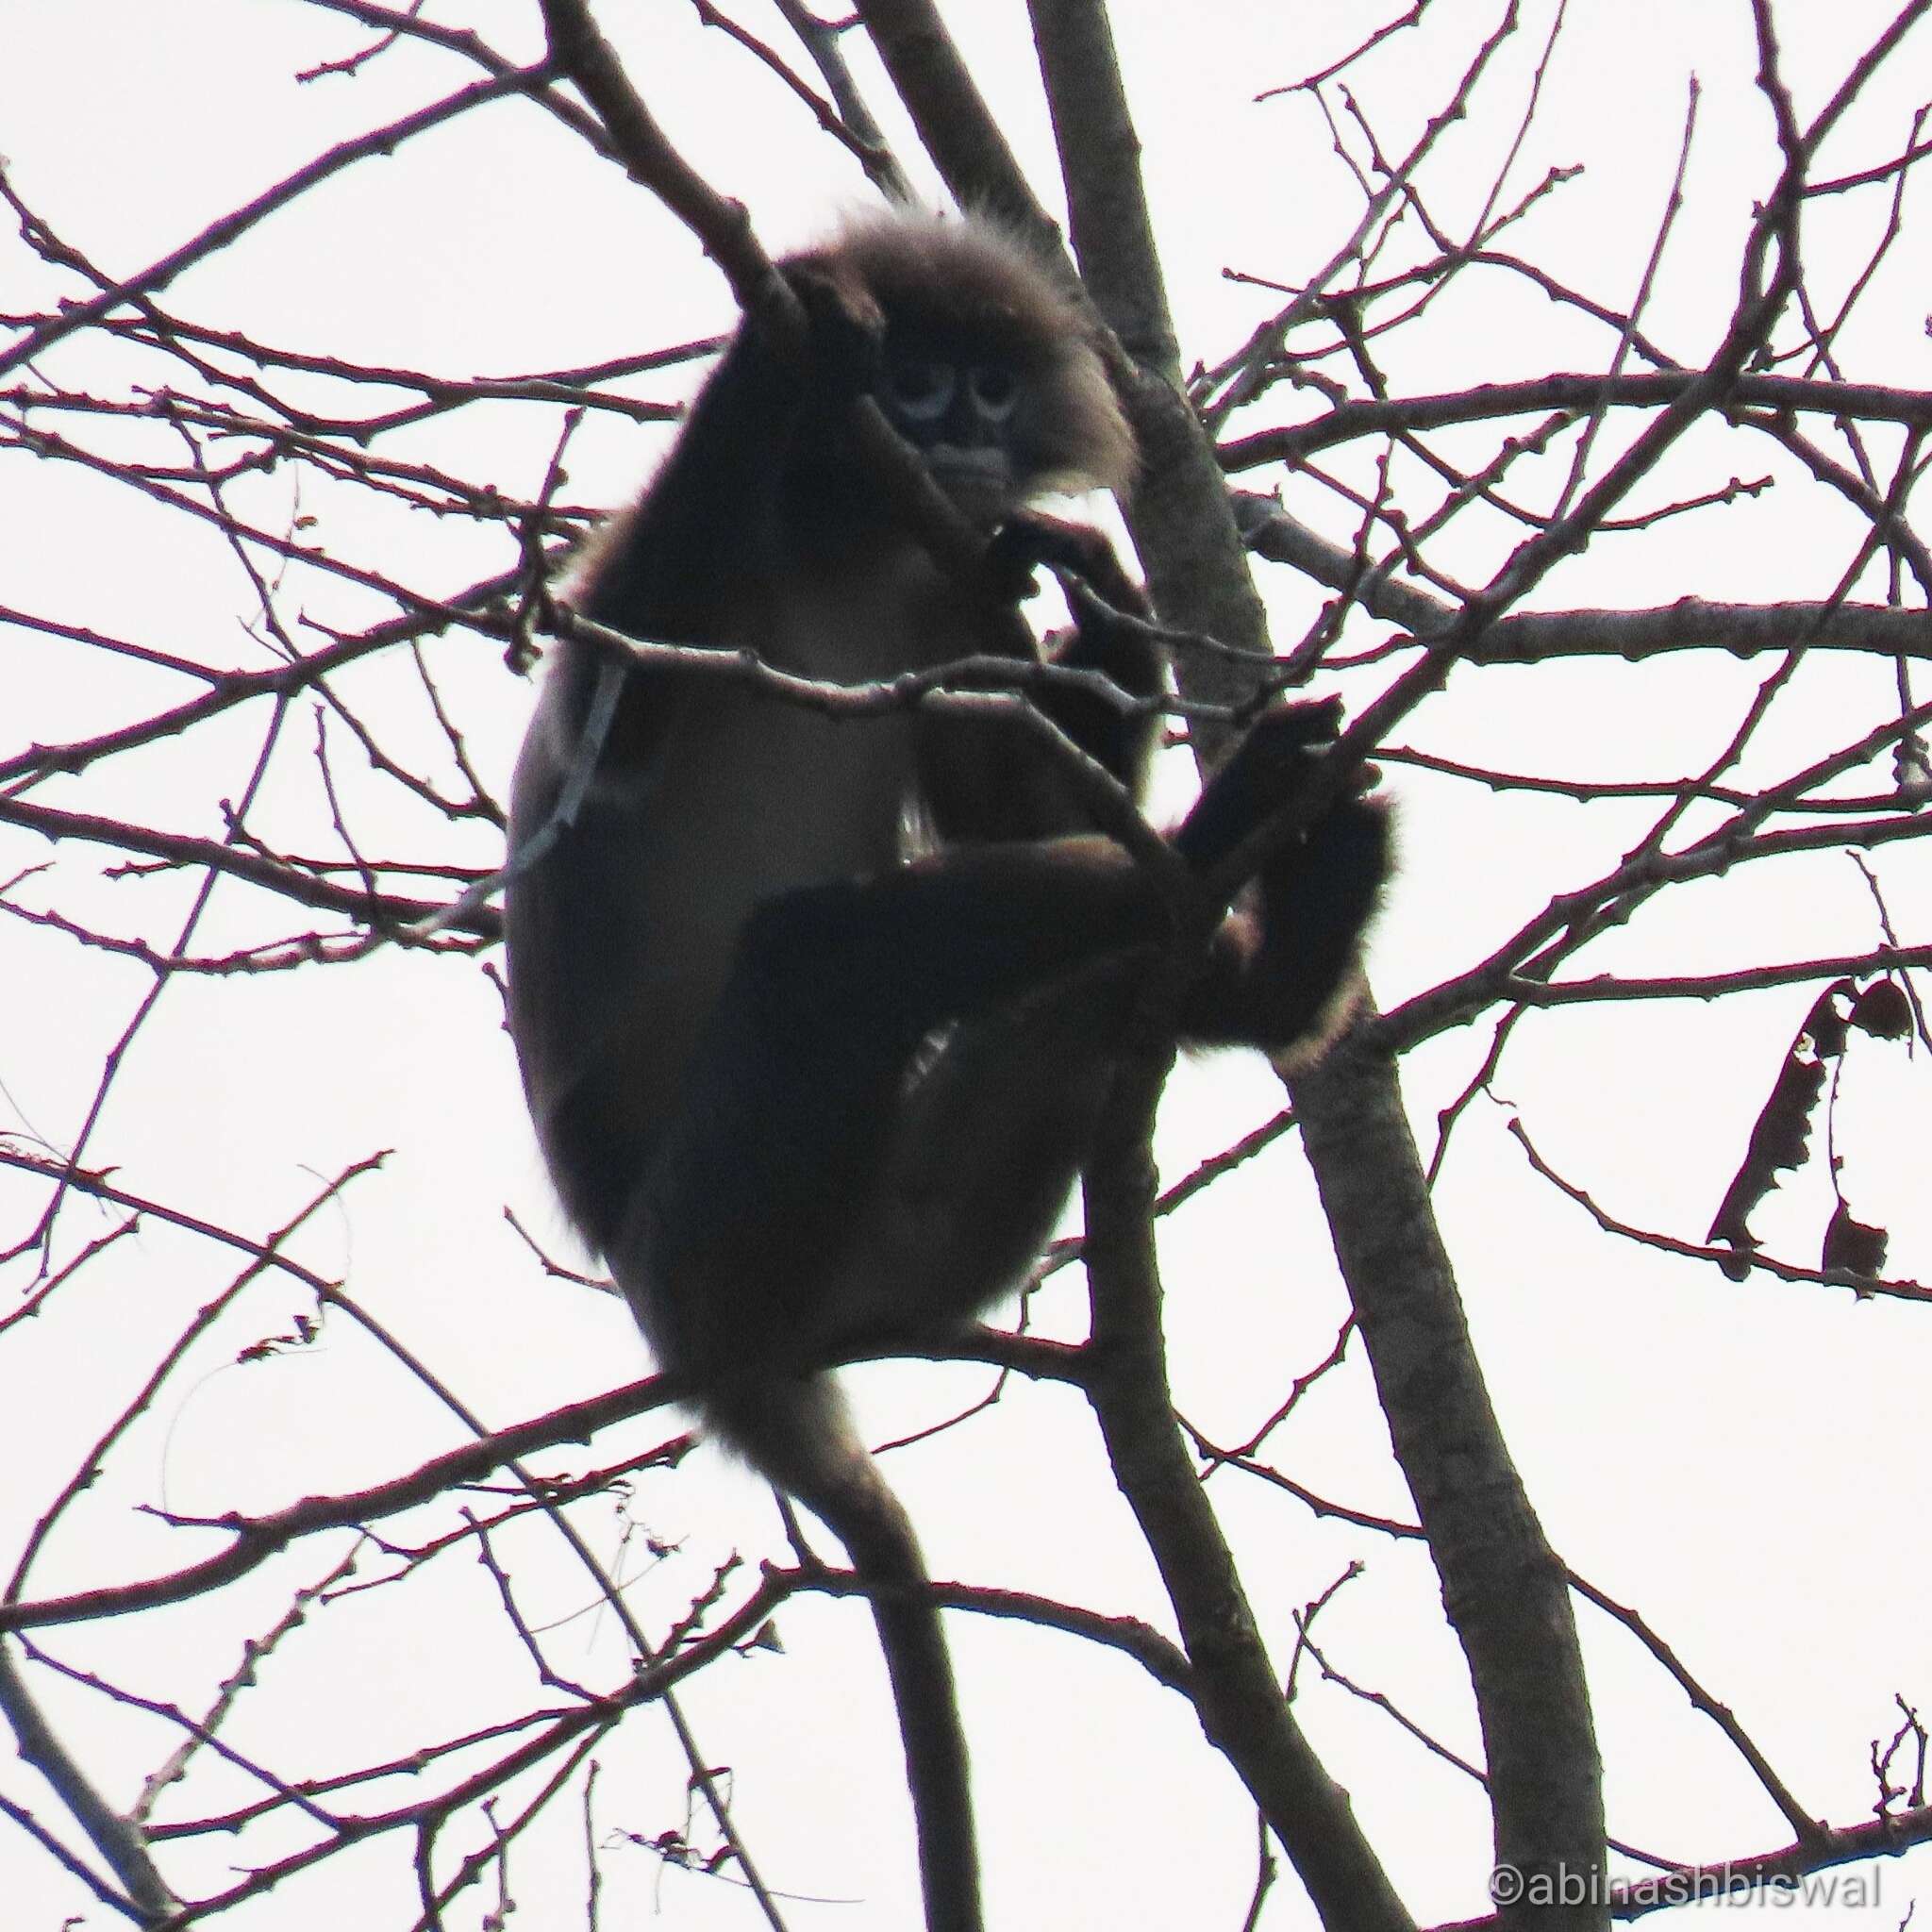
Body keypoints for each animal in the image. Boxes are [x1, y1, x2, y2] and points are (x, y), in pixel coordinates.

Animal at [506, 204, 1398, 1924]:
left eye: (991, 387)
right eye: (921, 385)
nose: (963, 436)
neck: (844, 545)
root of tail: (729, 1364)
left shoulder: (944, 593)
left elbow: (1000, 798)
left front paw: (1107, 630)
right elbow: (617, 740)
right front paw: (780, 350)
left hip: (906, 1230)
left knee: (1069, 972)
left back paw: (1271, 946)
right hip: (716, 1226)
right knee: (822, 957)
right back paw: (1227, 843)